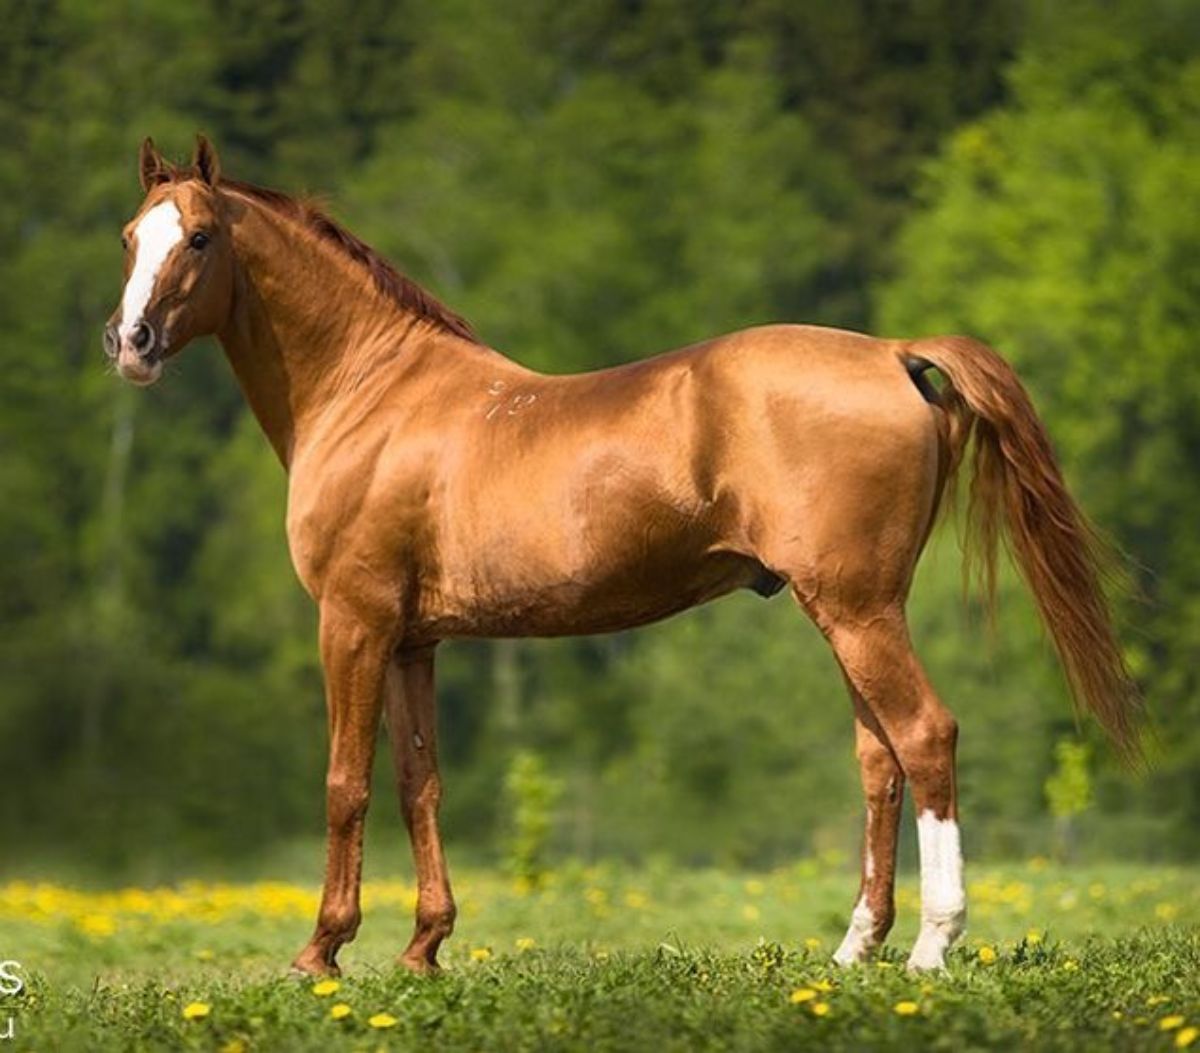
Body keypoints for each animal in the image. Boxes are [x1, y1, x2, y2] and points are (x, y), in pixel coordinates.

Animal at [105, 136, 1142, 978]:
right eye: (129, 236)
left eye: (200, 239)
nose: (131, 341)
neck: (375, 393)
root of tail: (891, 352)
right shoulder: (412, 641)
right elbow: (418, 783)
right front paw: (423, 945)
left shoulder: (352, 623)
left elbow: (343, 784)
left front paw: (321, 950)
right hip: (852, 608)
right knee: (878, 757)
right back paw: (856, 947)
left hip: (856, 607)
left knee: (925, 735)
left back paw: (932, 945)